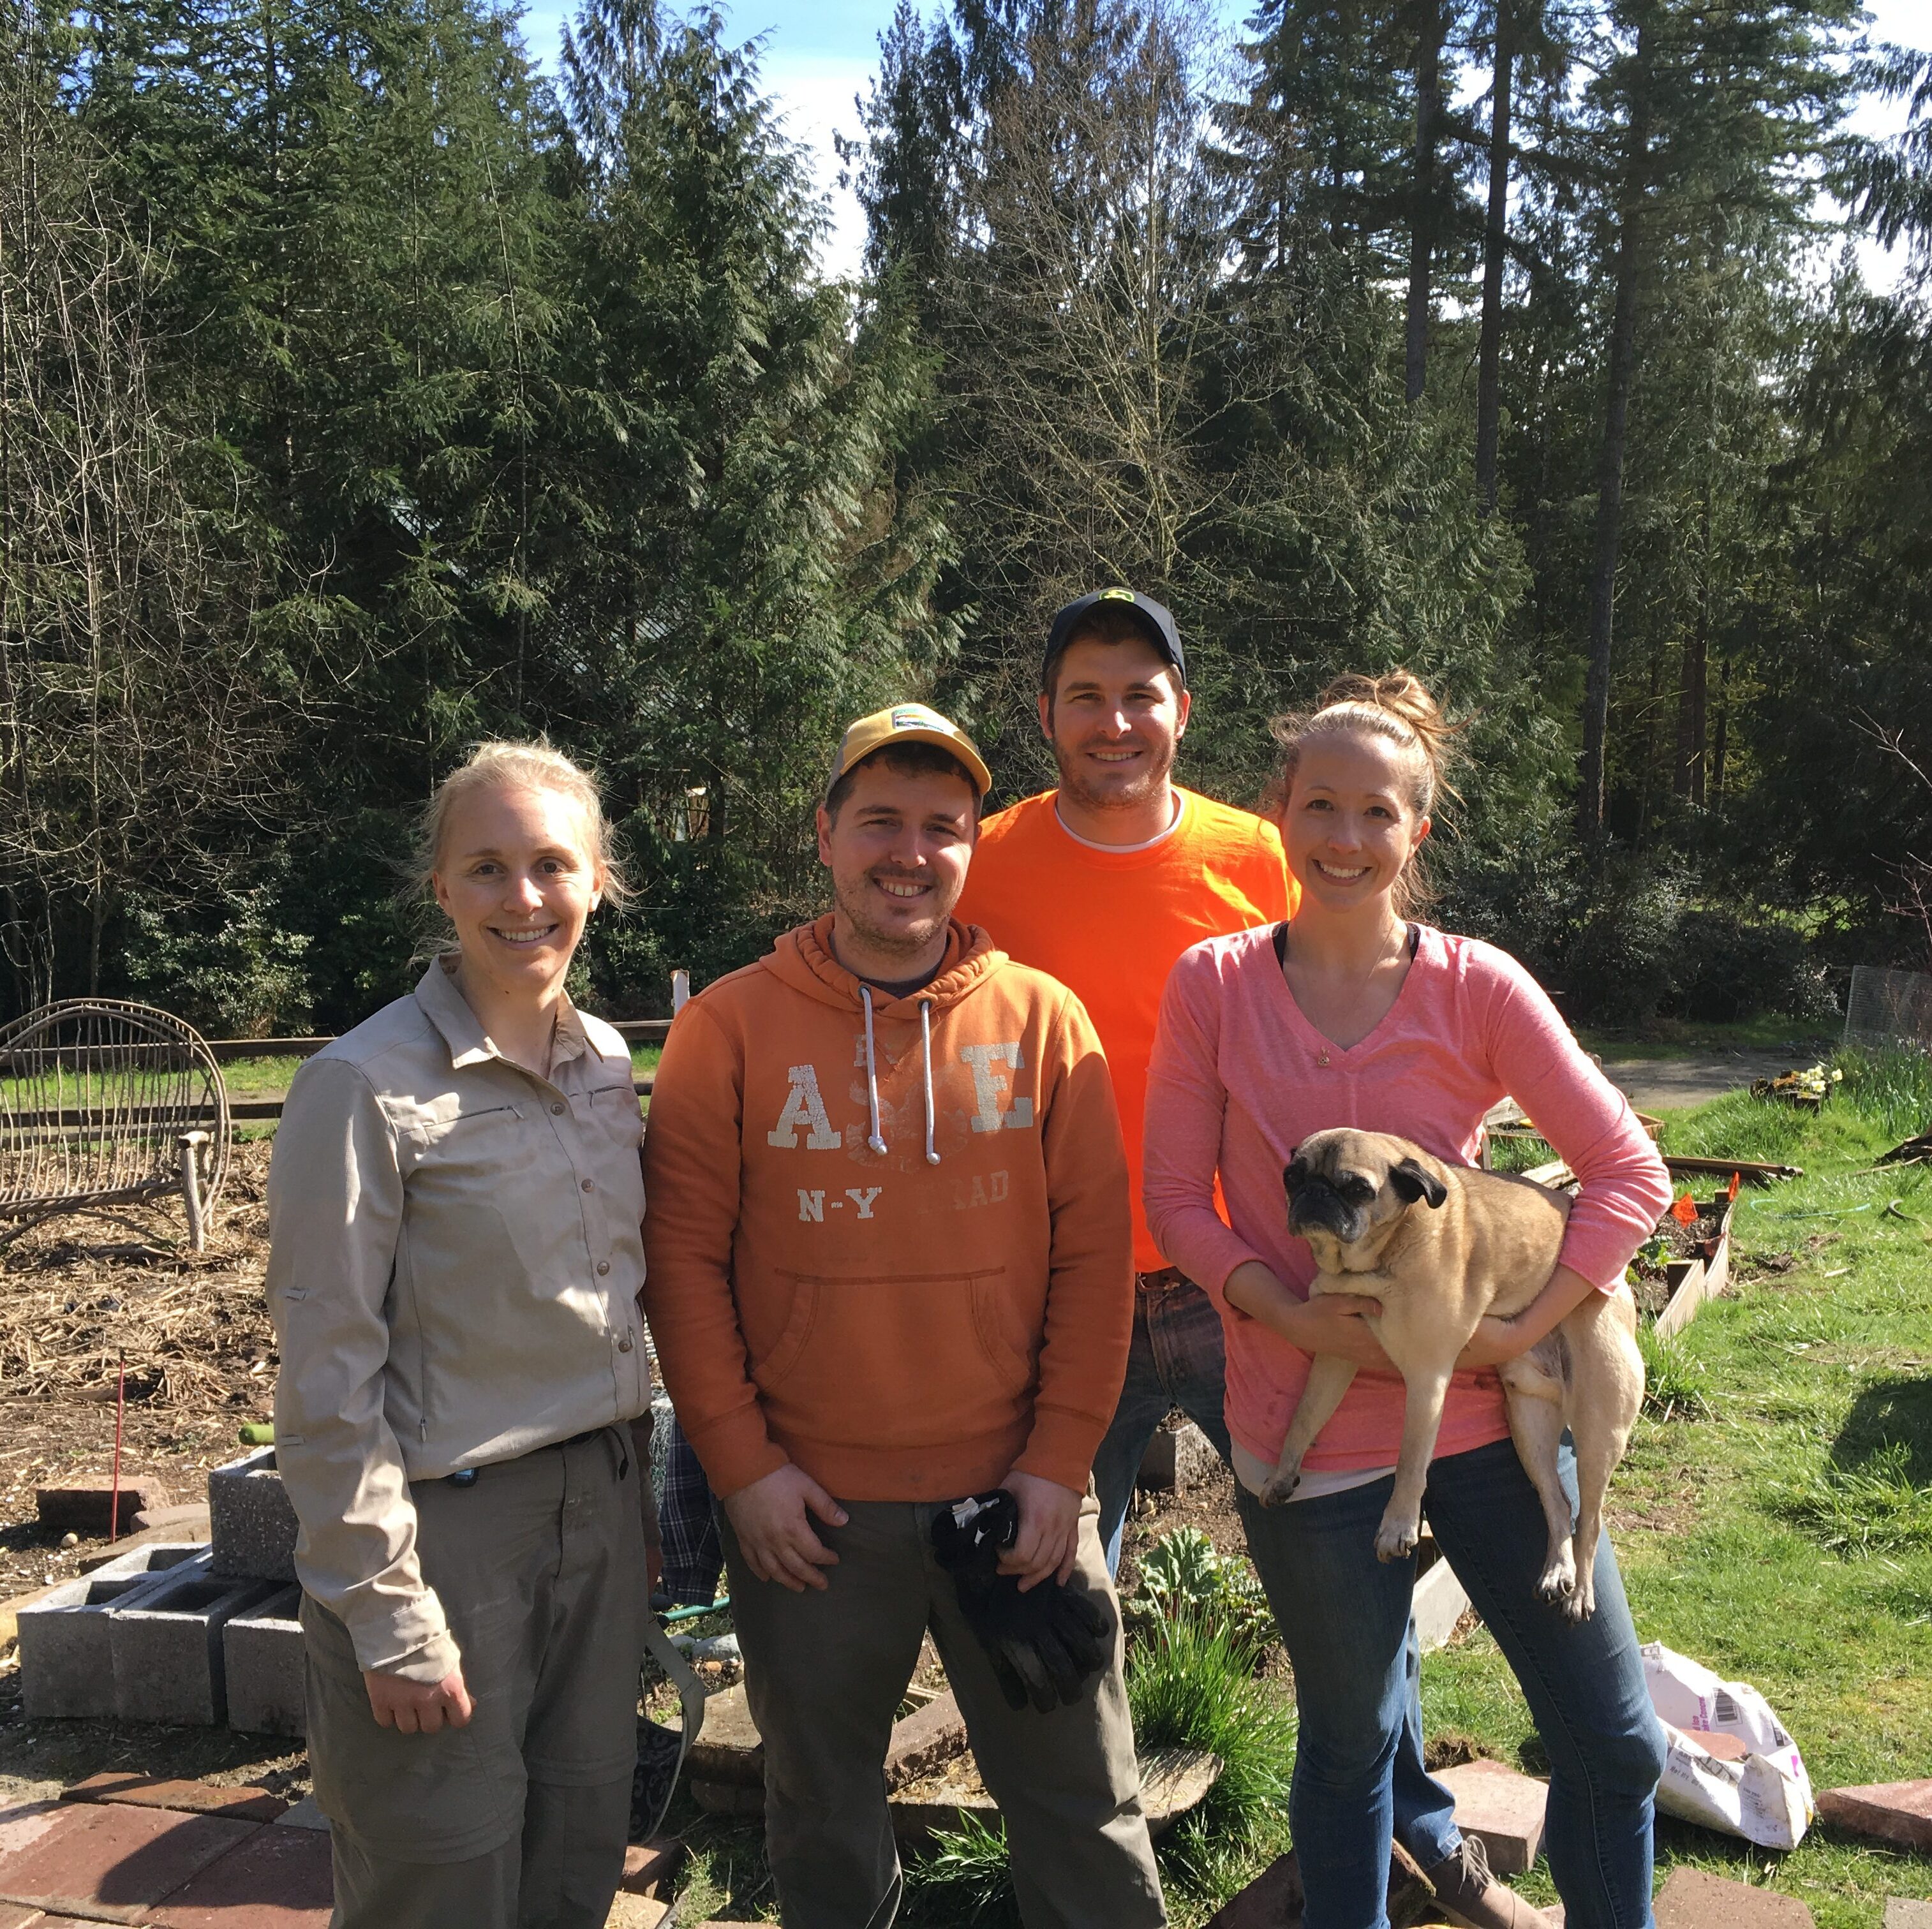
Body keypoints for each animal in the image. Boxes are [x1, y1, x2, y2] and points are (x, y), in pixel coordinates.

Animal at [1267, 1127, 1646, 1622]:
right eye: (1293, 1177)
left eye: (1356, 1189)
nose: (1314, 1194)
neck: (1378, 1257)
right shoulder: (1333, 1357)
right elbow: (1304, 1419)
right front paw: (1283, 1472)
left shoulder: (1427, 1379)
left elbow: (1410, 1462)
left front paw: (1398, 1526)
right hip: (1528, 1427)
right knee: (1560, 1503)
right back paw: (1556, 1571)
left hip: (1598, 1431)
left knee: (1591, 1521)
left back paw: (1581, 1590)